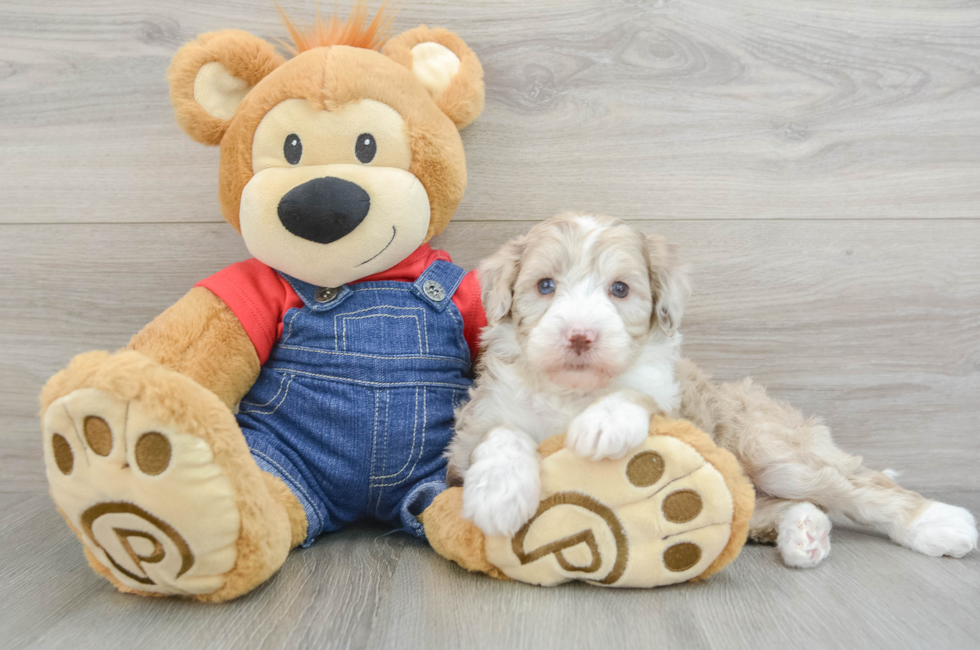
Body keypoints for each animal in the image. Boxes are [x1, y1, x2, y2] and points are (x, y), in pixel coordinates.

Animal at [448, 214, 976, 568]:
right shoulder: (472, 432)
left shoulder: (671, 406)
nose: (581, 336)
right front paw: (499, 493)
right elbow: (500, 435)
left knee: (858, 487)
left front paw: (604, 422)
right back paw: (805, 533)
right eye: (545, 286)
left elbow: (637, 394)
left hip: (769, 448)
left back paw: (938, 523)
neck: (572, 392)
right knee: (774, 505)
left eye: (619, 290)